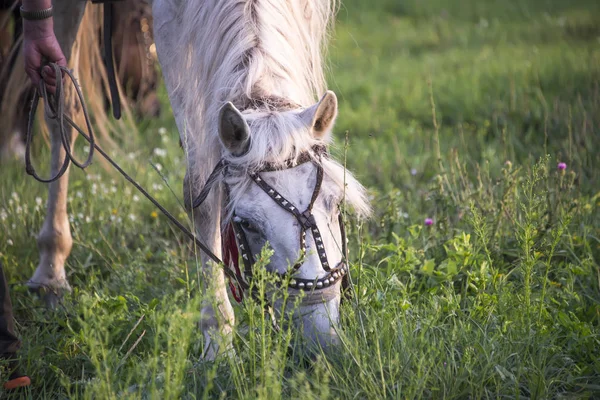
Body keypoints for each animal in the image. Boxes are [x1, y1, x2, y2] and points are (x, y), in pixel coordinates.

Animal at [30, 0, 368, 360]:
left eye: (335, 206)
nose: (320, 339)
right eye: (248, 224)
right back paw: (51, 270)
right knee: (61, 103)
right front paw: (218, 338)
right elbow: (200, 193)